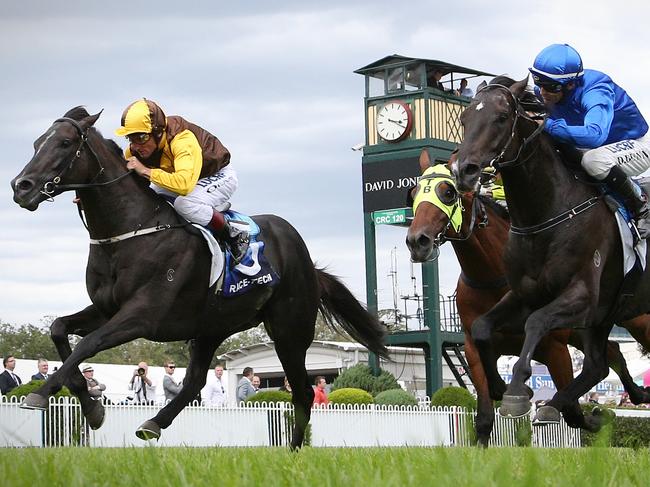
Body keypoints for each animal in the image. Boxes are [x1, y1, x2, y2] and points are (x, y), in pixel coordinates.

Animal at [11, 107, 384, 450]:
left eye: (64, 143)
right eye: (36, 143)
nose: (20, 186)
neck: (129, 232)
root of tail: (308, 263)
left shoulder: (142, 316)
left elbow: (88, 343)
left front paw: (42, 393)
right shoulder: (106, 310)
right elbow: (59, 329)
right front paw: (91, 407)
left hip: (289, 330)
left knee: (303, 392)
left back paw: (292, 452)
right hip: (212, 327)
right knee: (195, 382)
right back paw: (153, 423)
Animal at [404, 149, 648, 446]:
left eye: (448, 192)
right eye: (413, 193)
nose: (417, 241)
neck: (492, 278)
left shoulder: (555, 349)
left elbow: (572, 411)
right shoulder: (472, 348)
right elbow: (485, 416)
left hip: (637, 322)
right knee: (611, 353)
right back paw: (637, 393)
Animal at [450, 76, 650, 428]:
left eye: (502, 117)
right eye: (465, 119)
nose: (465, 170)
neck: (545, 215)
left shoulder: (580, 295)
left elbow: (537, 322)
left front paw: (517, 390)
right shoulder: (524, 293)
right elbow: (483, 327)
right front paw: (500, 386)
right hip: (605, 317)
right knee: (597, 364)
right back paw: (572, 407)